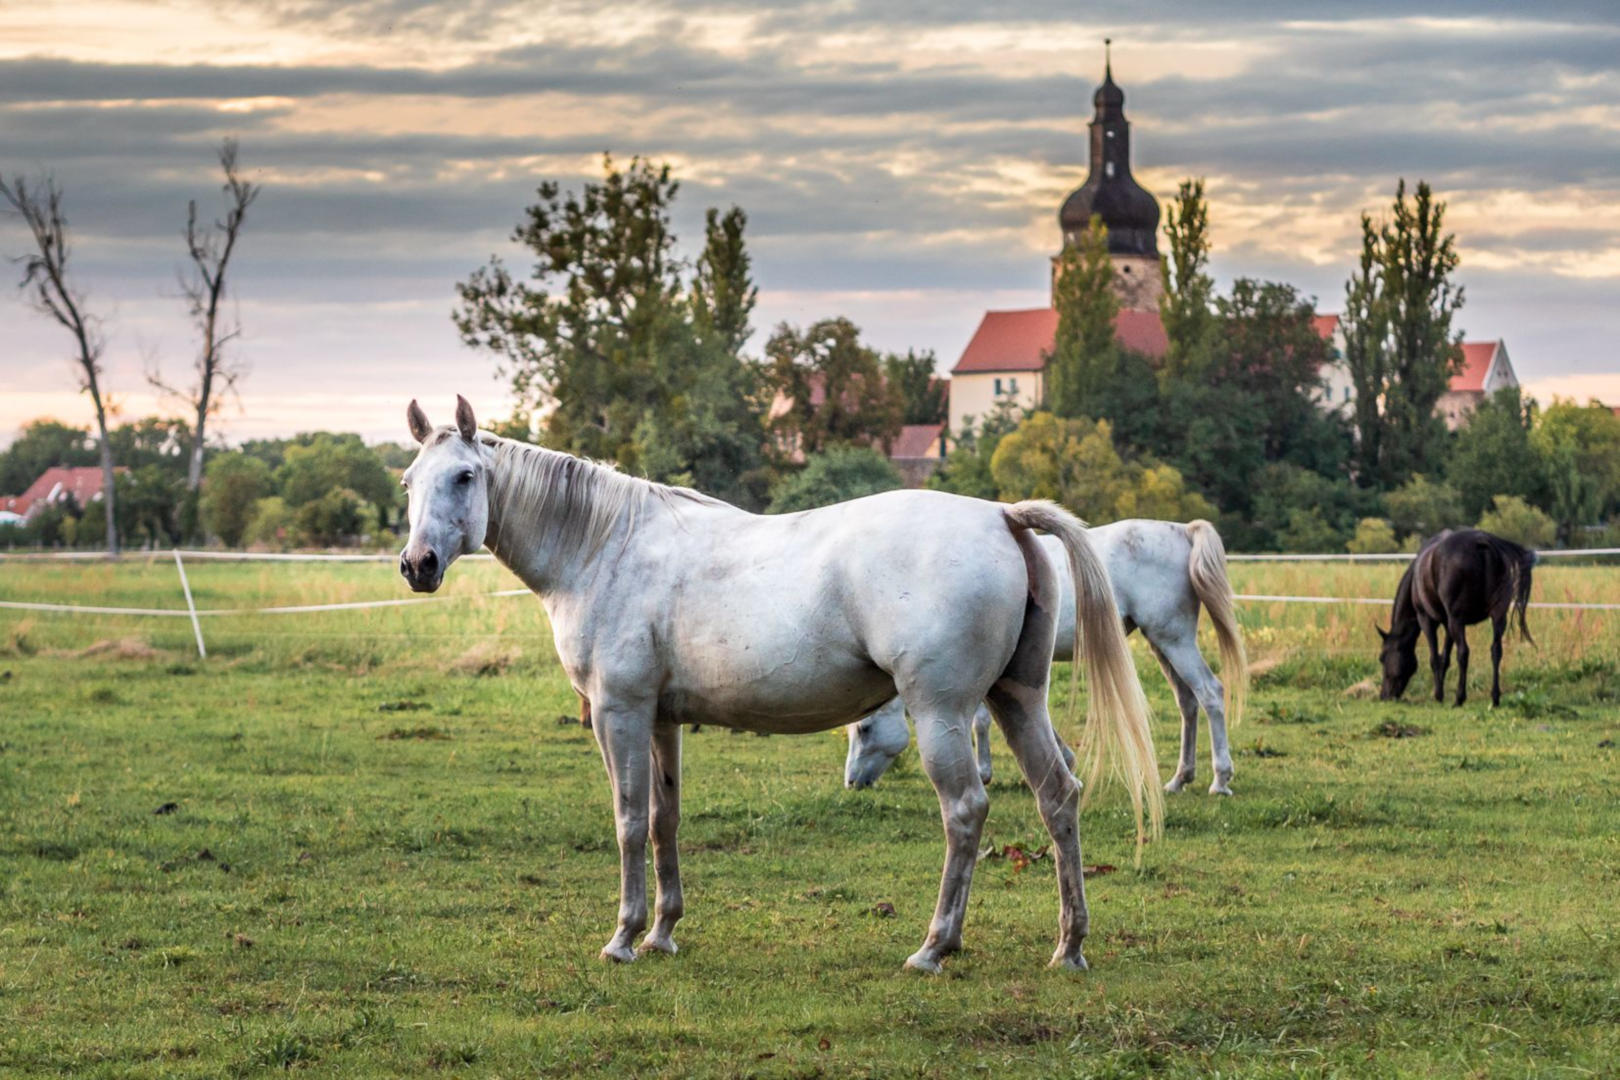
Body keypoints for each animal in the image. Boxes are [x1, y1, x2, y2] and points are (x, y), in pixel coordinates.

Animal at [403, 401, 1166, 977]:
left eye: (466, 475)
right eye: (410, 480)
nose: (418, 565)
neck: (603, 546)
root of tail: (1001, 516)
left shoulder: (619, 715)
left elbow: (627, 821)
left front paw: (623, 938)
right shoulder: (661, 720)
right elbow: (664, 820)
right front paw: (663, 932)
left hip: (944, 713)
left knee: (966, 812)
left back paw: (934, 947)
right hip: (1017, 701)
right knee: (1057, 796)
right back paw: (1069, 946)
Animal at [842, 518, 1244, 799]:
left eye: (864, 729)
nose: (851, 782)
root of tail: (1183, 531)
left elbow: (980, 721)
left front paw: (985, 771)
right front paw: (1064, 760)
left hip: (1173, 639)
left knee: (1210, 693)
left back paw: (1220, 780)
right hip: (1162, 642)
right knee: (1187, 702)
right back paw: (1179, 779)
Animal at [1380, 531, 1542, 709]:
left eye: (1382, 657)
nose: (1384, 696)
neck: (1415, 581)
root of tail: (1482, 541)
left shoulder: (1427, 620)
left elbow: (1435, 658)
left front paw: (1438, 695)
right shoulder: (1447, 623)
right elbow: (1445, 658)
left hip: (1457, 621)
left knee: (1463, 652)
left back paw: (1459, 698)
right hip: (1497, 616)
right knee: (1496, 651)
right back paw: (1495, 698)